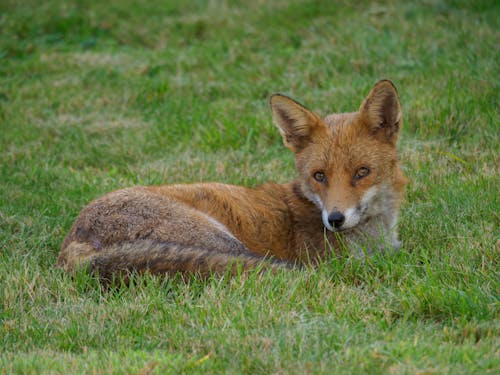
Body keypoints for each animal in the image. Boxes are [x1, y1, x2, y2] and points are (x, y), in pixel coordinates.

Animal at [56, 81, 406, 282]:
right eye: (319, 176)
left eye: (362, 172)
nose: (334, 220)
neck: (374, 238)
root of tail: (73, 239)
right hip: (223, 241)